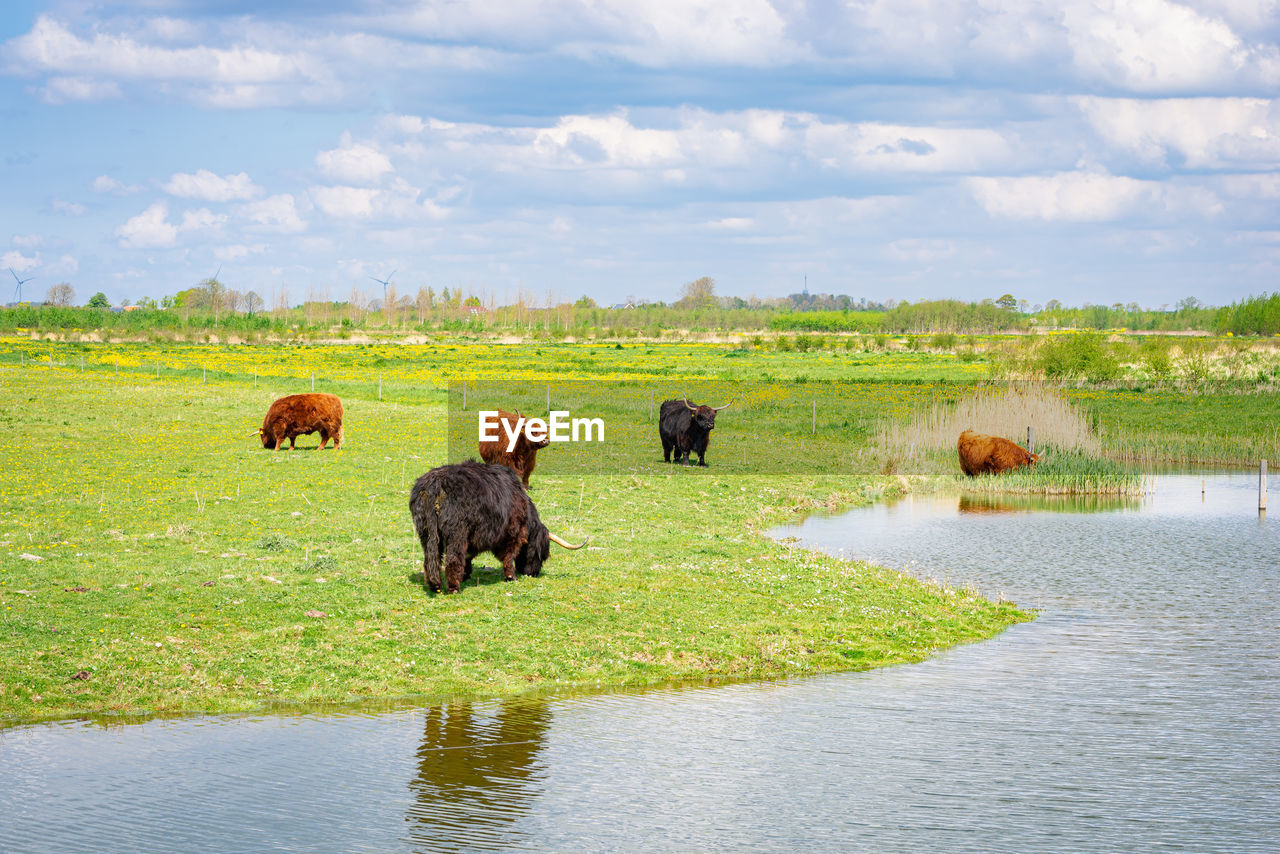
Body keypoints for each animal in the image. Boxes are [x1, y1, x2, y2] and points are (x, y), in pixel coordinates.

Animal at [409, 460, 588, 594]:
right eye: (542, 555)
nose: (533, 573)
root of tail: (436, 483)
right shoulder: (512, 533)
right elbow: (508, 556)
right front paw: (511, 577)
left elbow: (468, 557)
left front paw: (467, 574)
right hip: (456, 533)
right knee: (453, 559)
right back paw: (454, 588)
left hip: (426, 532)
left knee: (430, 559)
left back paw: (435, 586)